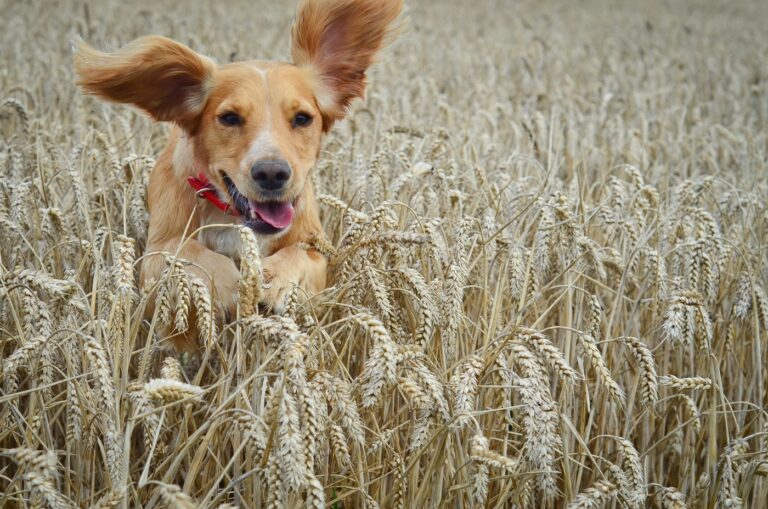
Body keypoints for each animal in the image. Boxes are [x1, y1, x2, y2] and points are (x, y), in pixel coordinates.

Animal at [75, 0, 404, 346]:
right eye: (230, 118)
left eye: (302, 118)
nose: (272, 174)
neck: (233, 217)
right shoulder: (154, 252)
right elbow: (187, 252)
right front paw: (229, 284)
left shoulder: (315, 247)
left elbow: (300, 255)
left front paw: (273, 278)